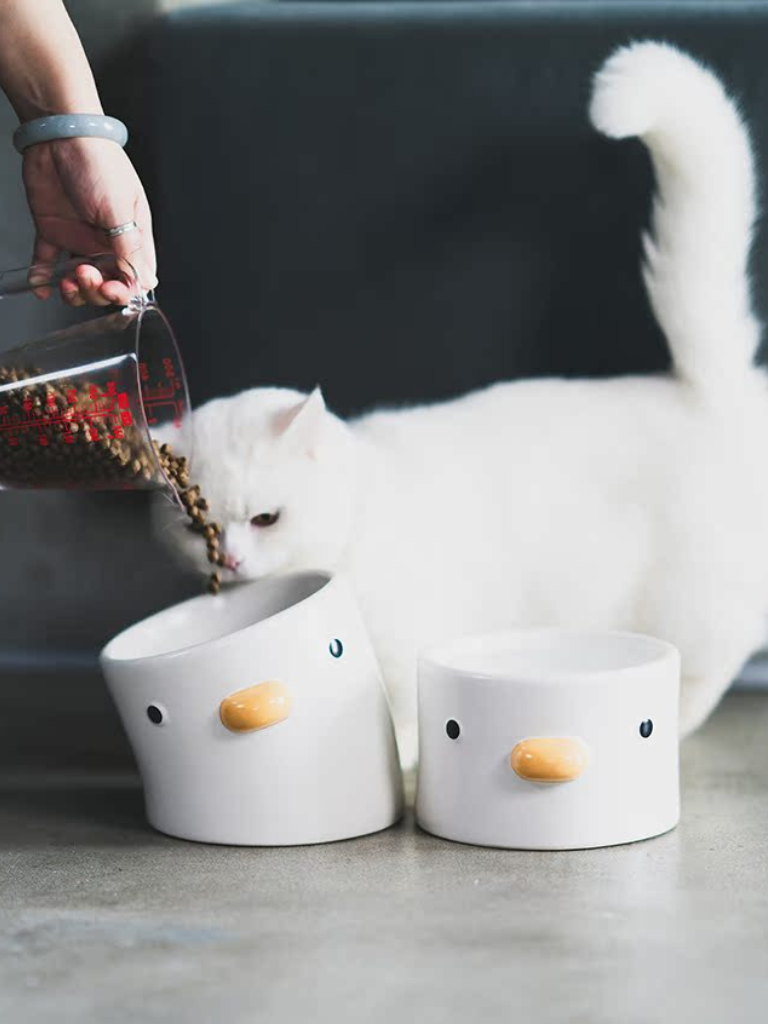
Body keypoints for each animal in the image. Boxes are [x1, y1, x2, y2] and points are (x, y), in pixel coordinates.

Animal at [154, 41, 768, 770]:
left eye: (266, 519)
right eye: (196, 529)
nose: (228, 562)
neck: (359, 523)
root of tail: (706, 389)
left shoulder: (405, 646)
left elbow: (398, 714)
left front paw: (403, 756)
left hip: (693, 606)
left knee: (706, 668)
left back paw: (675, 720)